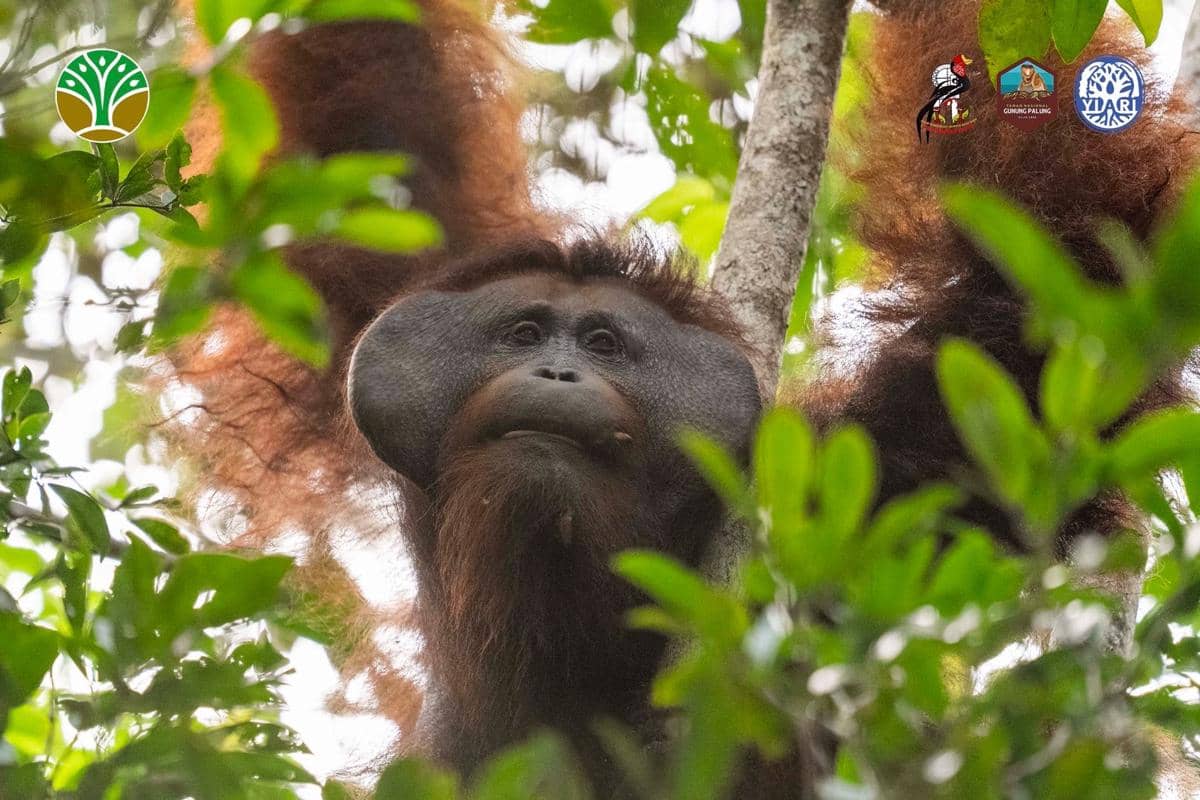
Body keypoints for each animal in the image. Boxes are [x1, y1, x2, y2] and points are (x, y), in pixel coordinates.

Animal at [169, 0, 1197, 794]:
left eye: (604, 344)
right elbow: (374, 134)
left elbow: (1068, 284)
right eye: (523, 334)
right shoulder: (404, 273)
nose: (558, 374)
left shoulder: (880, 468)